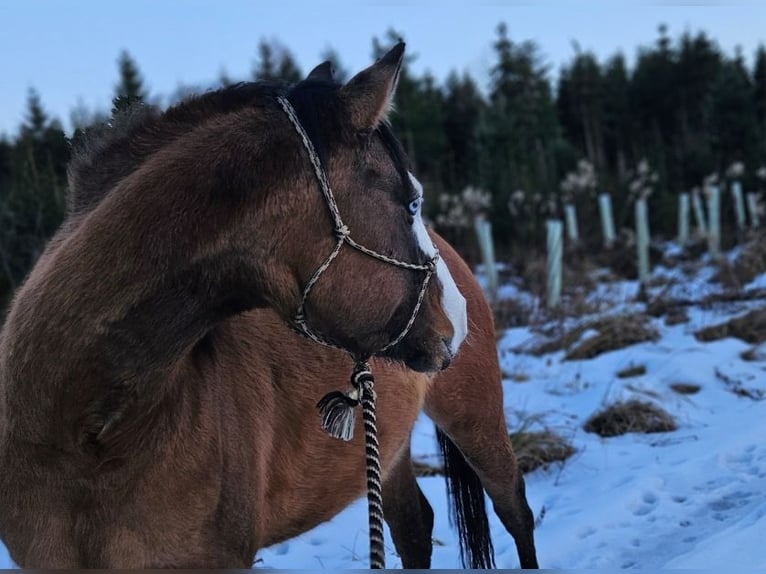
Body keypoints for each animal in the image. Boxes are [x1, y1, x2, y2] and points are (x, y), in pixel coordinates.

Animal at [0, 44, 537, 568]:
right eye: (410, 203)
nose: (459, 319)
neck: (83, 435)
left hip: (476, 419)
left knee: (515, 511)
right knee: (414, 527)